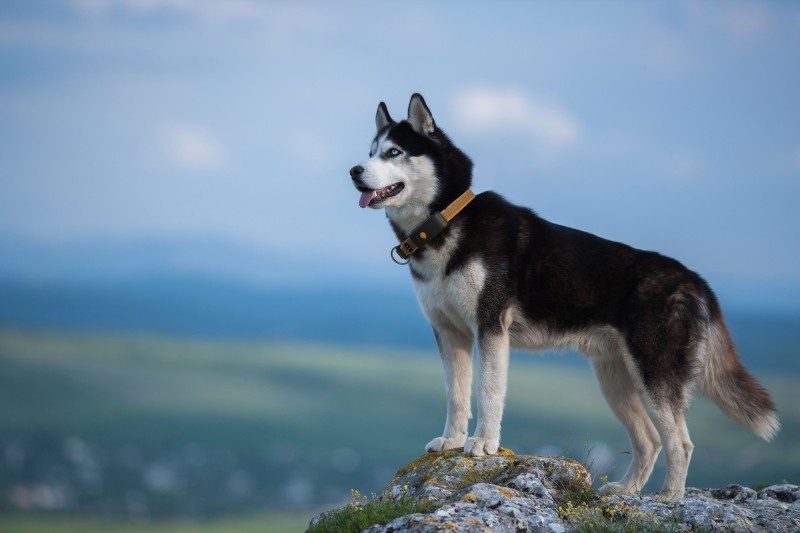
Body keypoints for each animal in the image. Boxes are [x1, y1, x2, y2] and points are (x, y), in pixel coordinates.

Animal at [346, 92, 780, 498]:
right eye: (370, 152)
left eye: (393, 152)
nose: (353, 171)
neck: (444, 222)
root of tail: (695, 280)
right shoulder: (448, 333)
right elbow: (456, 395)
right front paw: (452, 441)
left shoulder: (490, 327)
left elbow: (488, 392)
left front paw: (483, 444)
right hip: (615, 379)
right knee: (650, 440)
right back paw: (626, 491)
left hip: (654, 375)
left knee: (681, 444)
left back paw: (670, 500)